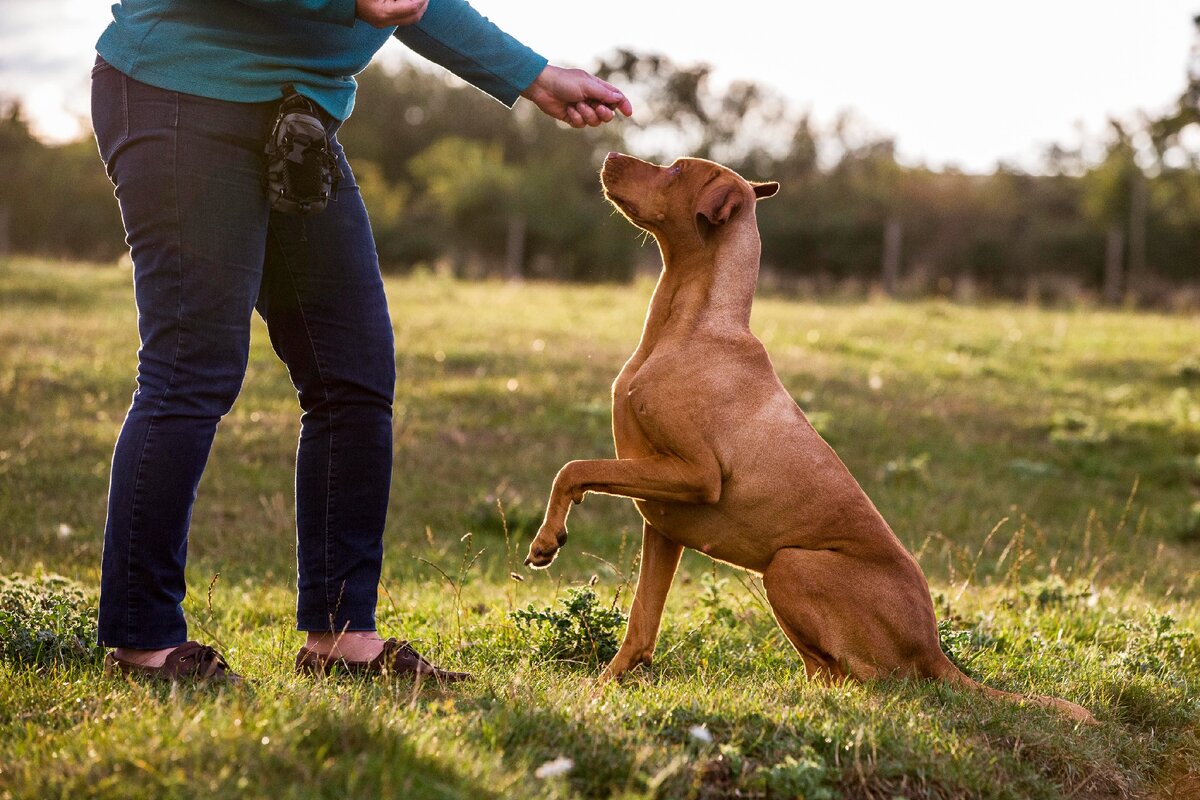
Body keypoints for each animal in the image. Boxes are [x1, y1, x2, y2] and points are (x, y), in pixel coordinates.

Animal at [528, 151, 1099, 724]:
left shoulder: (696, 475)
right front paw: (604, 688)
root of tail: (934, 649)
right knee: (827, 673)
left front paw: (547, 539)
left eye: (675, 171)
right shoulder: (663, 522)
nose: (608, 156)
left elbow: (572, 469)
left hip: (789, 565)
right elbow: (641, 622)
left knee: (868, 683)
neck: (691, 326)